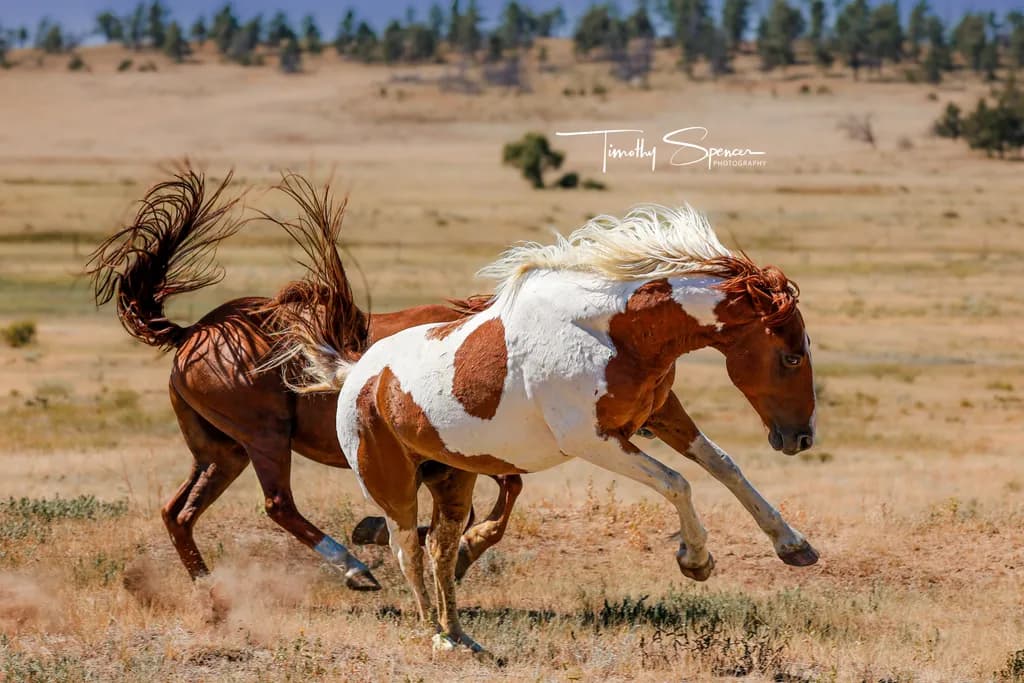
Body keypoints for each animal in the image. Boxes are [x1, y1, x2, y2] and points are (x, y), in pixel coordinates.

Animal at [86, 170, 523, 590]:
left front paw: (408, 537)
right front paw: (447, 547)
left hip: (223, 453)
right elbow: (497, 494)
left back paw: (209, 589)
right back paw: (354, 570)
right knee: (277, 504)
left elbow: (494, 495)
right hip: (265, 438)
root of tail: (192, 333)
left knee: (178, 512)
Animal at [285, 205, 819, 653]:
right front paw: (696, 560)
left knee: (440, 548)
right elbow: (677, 482)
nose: (801, 438)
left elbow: (723, 466)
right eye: (792, 357)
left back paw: (461, 636)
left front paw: (793, 545)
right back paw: (435, 634)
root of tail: (356, 373)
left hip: (453, 478)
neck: (615, 332)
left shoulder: (660, 413)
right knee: (407, 550)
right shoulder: (593, 440)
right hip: (392, 484)